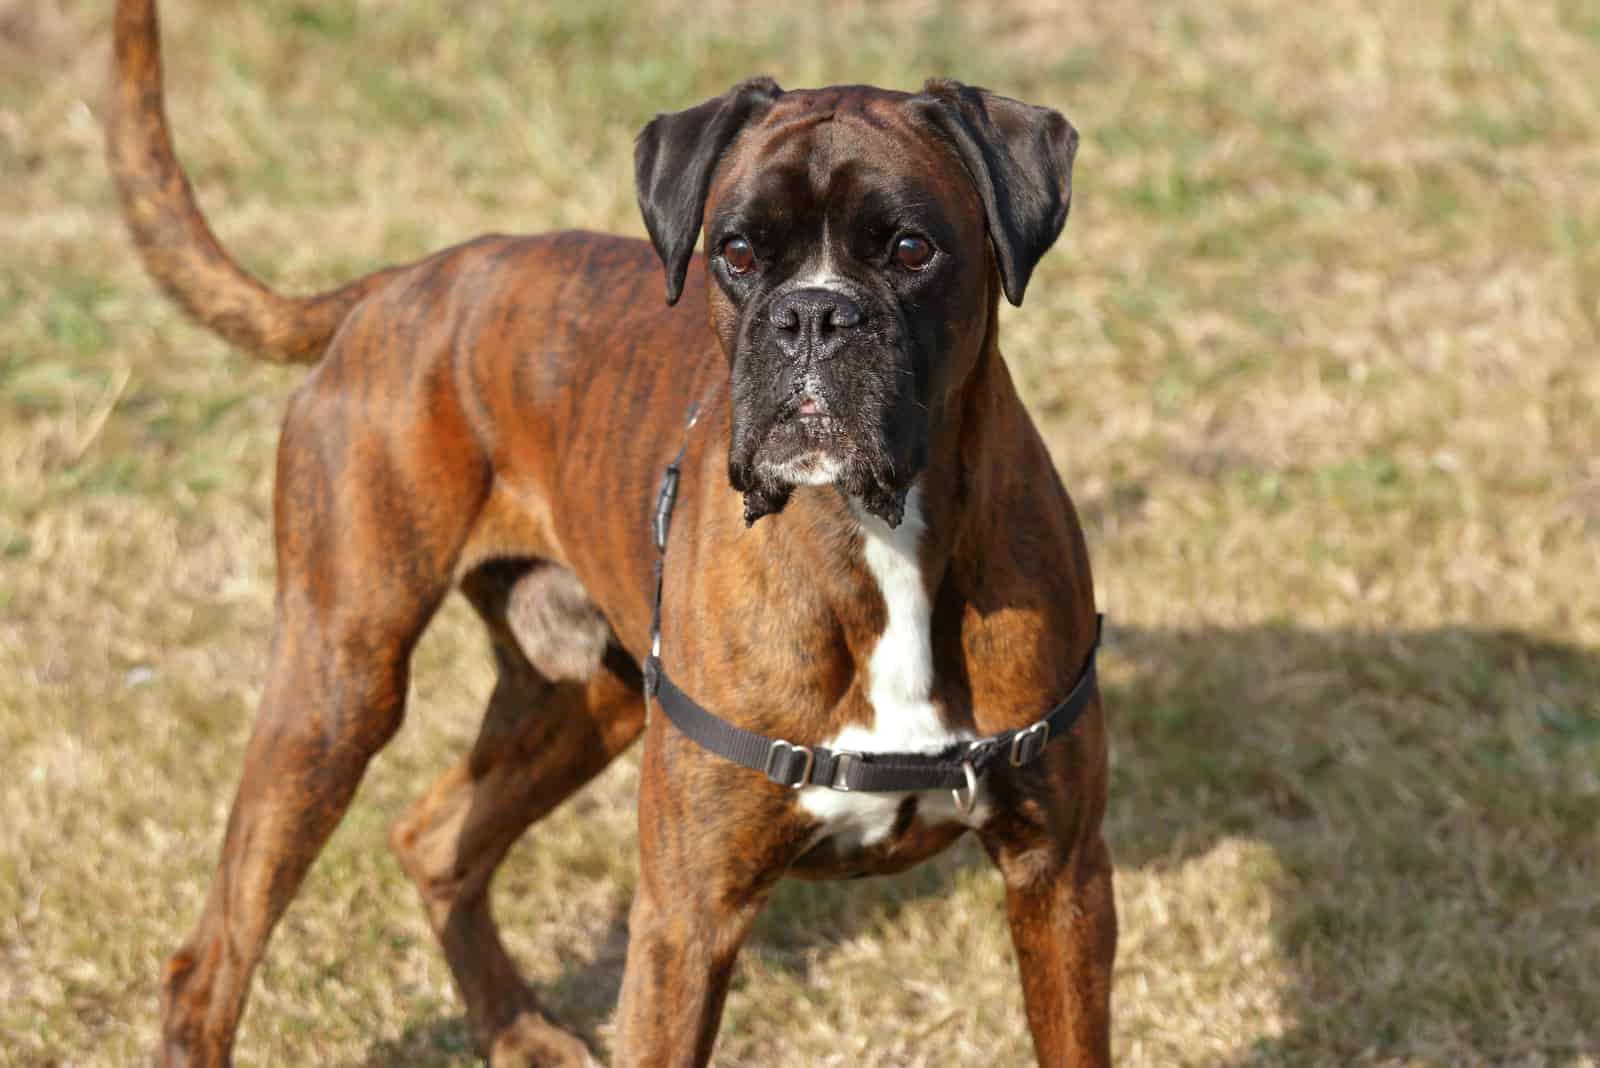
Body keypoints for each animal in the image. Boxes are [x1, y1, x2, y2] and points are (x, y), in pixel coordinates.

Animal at [112, 0, 1113, 1061]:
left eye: (913, 250)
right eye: (737, 252)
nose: (813, 315)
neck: (874, 537)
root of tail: (398, 284)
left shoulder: (1062, 880)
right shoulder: (687, 918)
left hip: (583, 694)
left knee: (433, 843)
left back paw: (518, 1031)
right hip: (338, 684)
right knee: (209, 964)